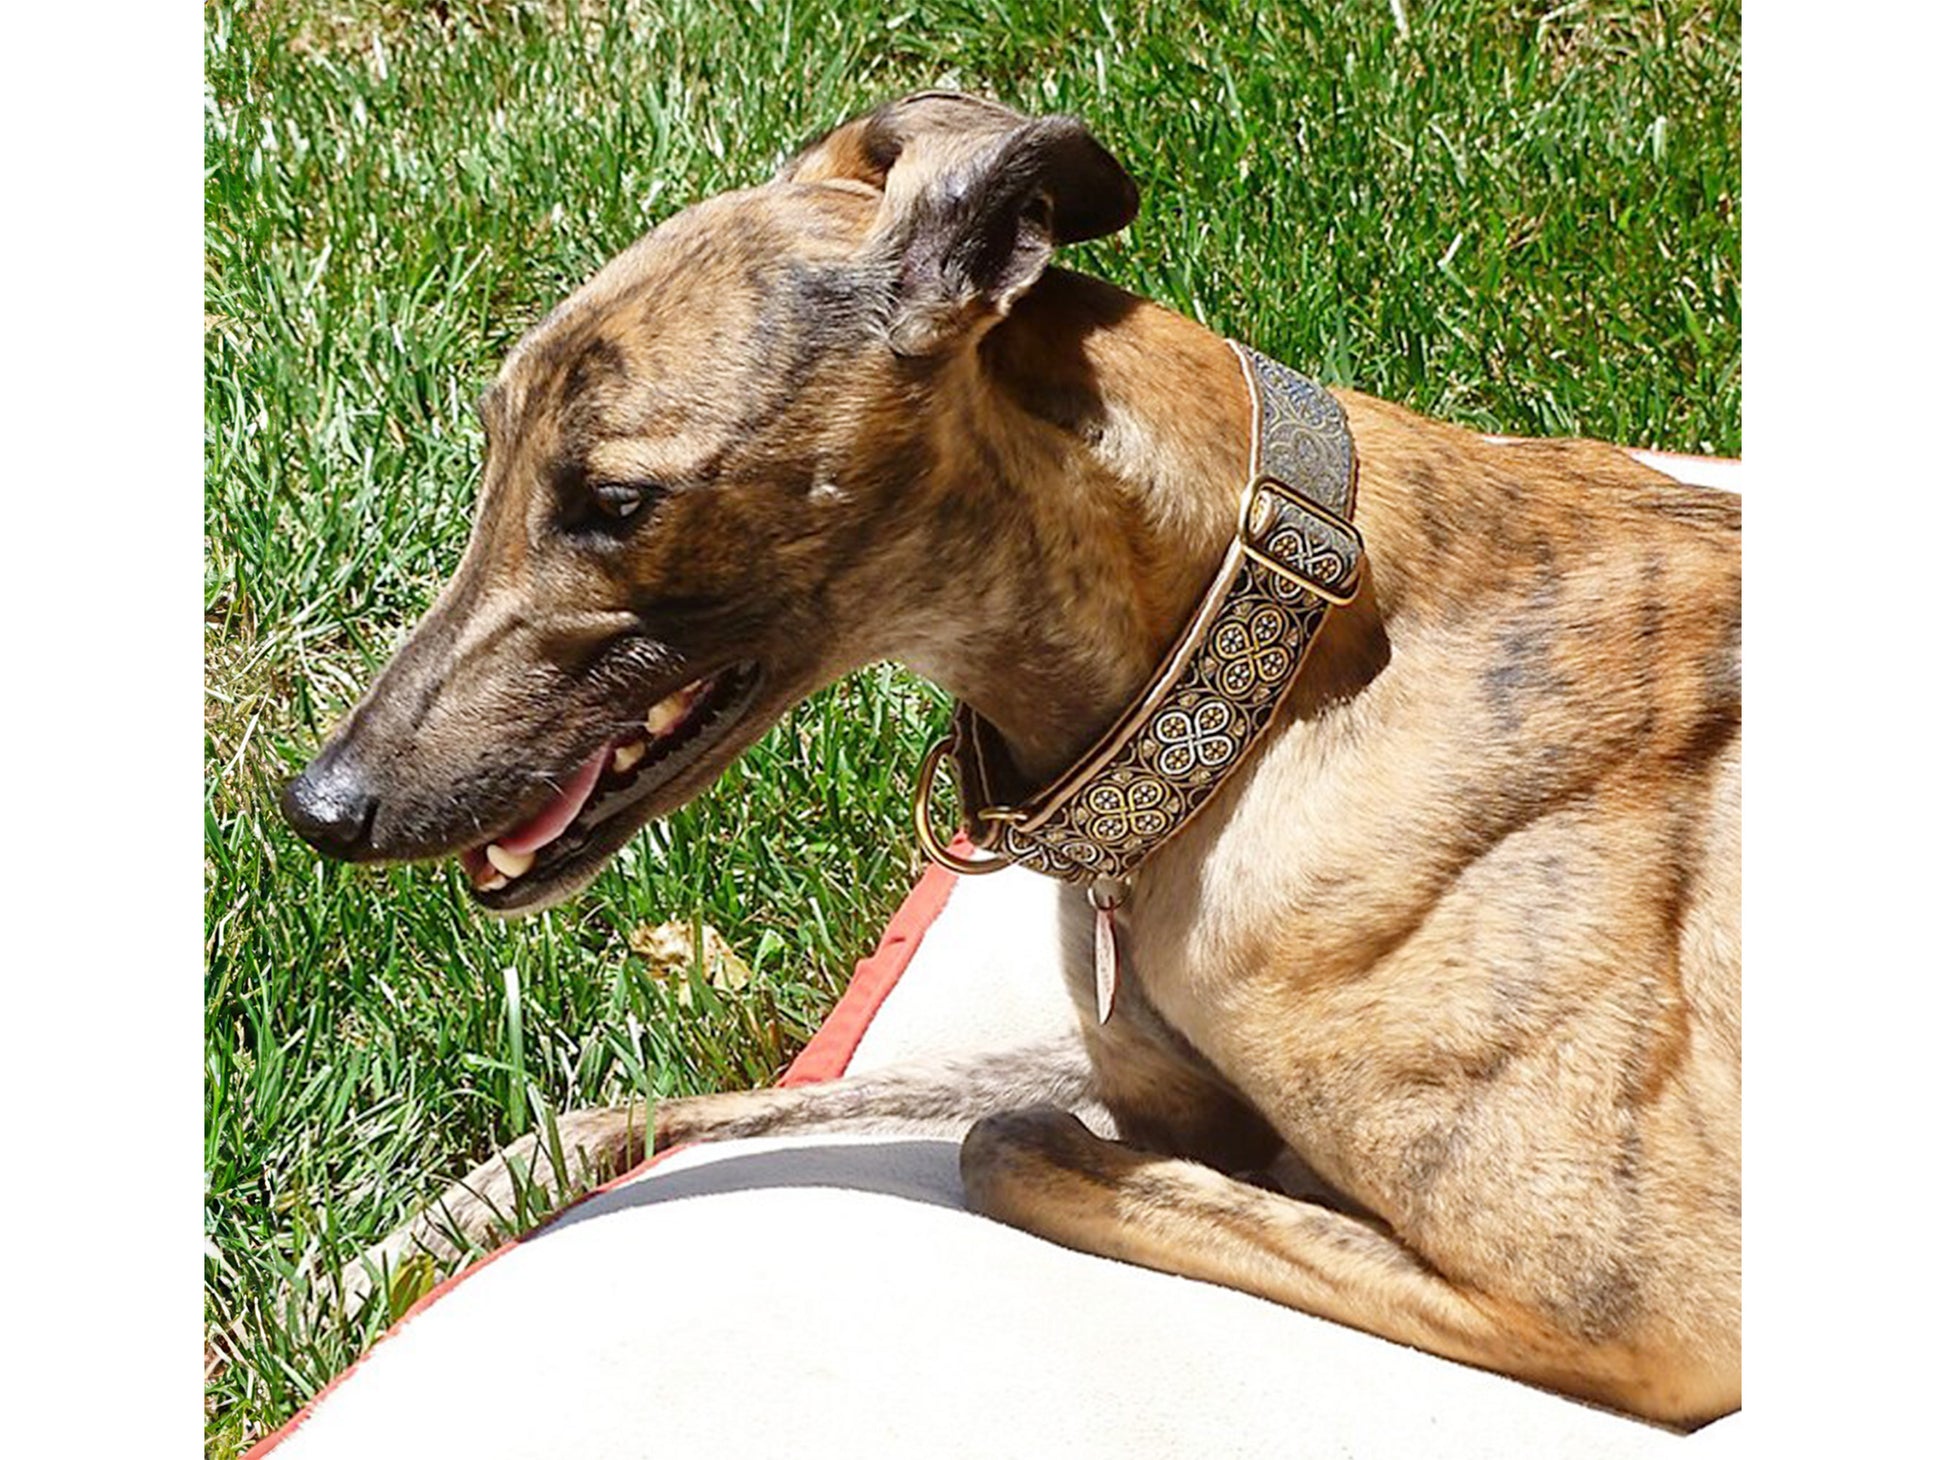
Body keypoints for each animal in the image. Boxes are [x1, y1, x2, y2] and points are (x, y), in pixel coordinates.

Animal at [284, 91, 1751, 1432]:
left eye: (614, 503)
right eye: (488, 446)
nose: (319, 808)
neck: (1251, 680)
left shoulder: (1636, 1308)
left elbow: (1008, 1145)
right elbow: (684, 1109)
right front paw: (394, 1250)